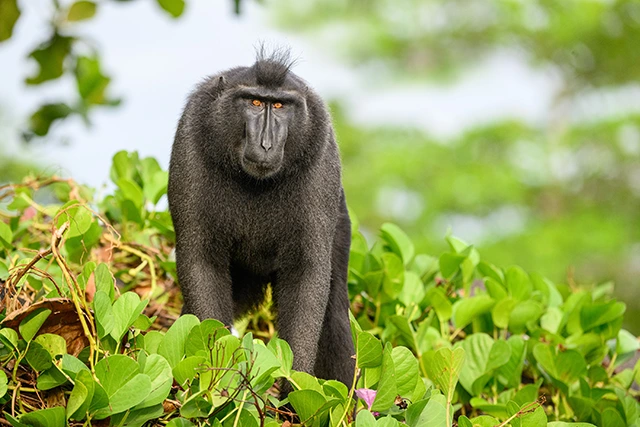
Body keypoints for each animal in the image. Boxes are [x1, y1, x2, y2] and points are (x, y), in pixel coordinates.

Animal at [167, 48, 355, 388]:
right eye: (255, 102)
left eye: (279, 105)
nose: (266, 143)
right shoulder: (191, 138)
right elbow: (200, 260)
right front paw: (217, 379)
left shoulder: (321, 154)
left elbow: (307, 272)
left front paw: (293, 388)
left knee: (334, 314)